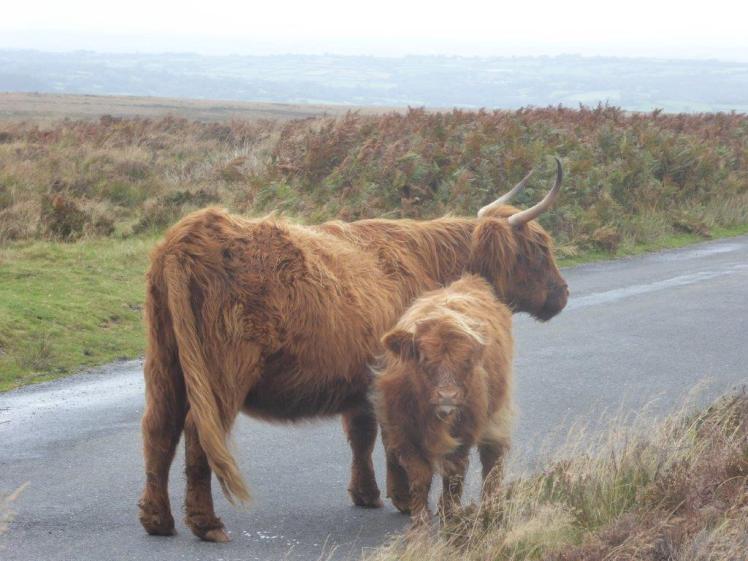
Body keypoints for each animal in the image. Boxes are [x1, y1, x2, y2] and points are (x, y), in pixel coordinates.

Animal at [373, 274, 513, 528]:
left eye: (466, 361)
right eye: (424, 359)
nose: (447, 395)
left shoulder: (465, 432)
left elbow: (454, 473)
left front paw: (450, 514)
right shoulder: (404, 433)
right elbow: (420, 476)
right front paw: (420, 518)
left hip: (497, 413)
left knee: (492, 458)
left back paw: (492, 505)